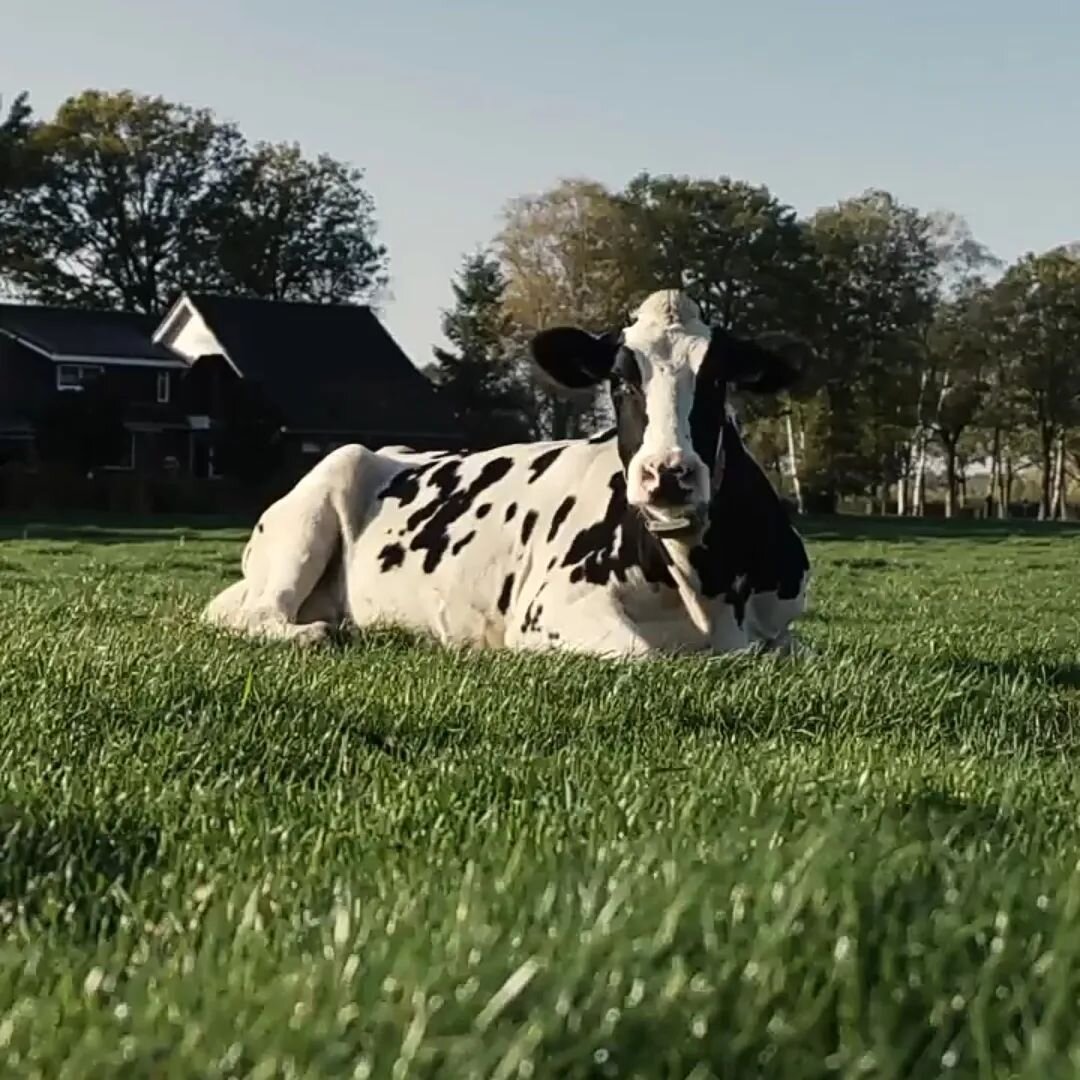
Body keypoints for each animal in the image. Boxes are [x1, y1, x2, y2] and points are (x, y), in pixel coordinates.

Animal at [200, 287, 812, 656]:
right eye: (619, 381)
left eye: (717, 381)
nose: (667, 473)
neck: (707, 589)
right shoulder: (547, 612)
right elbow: (642, 651)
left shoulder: (783, 630)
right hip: (312, 512)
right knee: (254, 615)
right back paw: (316, 632)